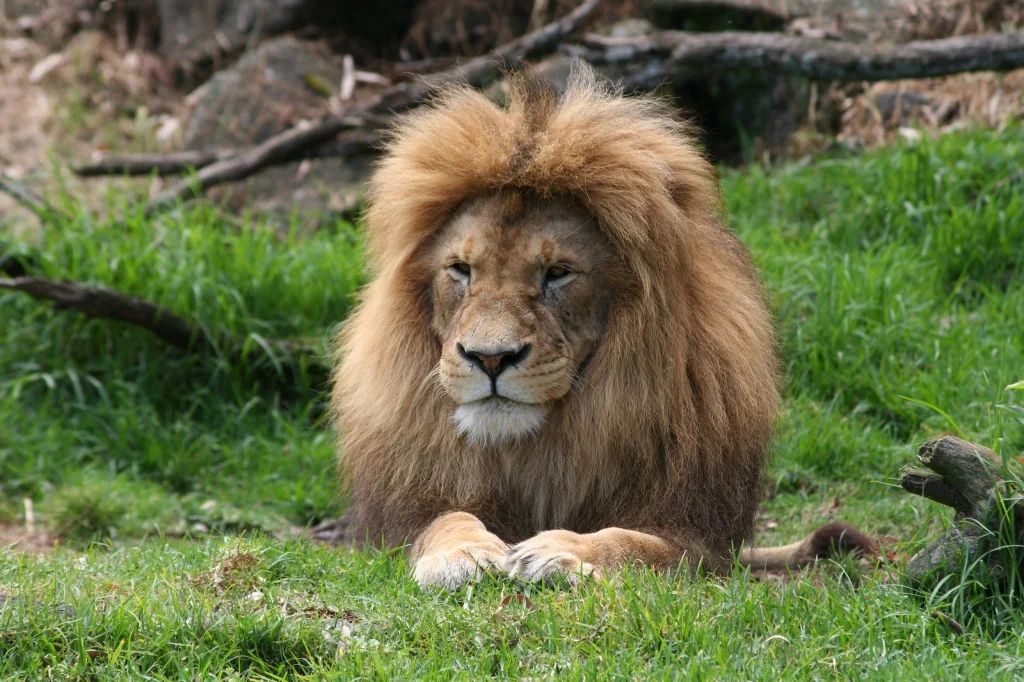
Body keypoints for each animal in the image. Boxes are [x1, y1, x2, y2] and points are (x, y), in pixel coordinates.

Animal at [330, 62, 874, 589]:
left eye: (557, 273)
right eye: (461, 270)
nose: (490, 358)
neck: (538, 446)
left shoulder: (699, 537)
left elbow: (633, 542)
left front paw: (562, 551)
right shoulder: (404, 516)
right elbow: (446, 518)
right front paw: (461, 554)